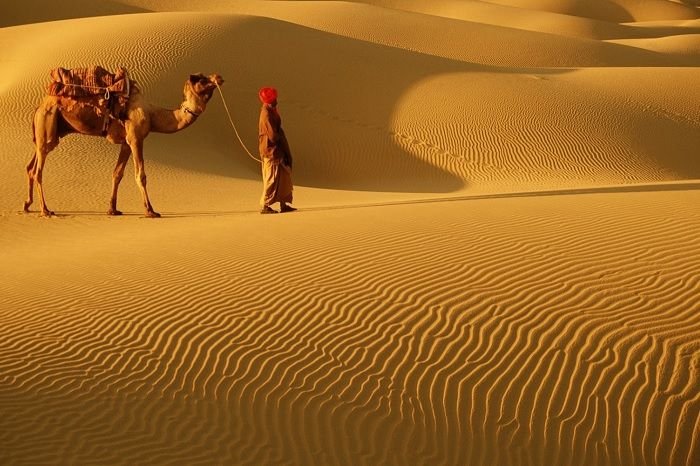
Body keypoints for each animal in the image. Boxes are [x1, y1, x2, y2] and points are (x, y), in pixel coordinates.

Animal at [25, 72, 225, 217]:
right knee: (38, 170)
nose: (219, 77)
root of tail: (39, 106)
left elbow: (117, 174)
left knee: (30, 166)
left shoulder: (126, 143)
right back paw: (45, 211)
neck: (152, 115)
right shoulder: (136, 138)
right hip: (48, 124)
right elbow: (141, 175)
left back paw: (27, 205)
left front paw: (112, 209)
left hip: (47, 132)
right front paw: (150, 211)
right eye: (202, 79)